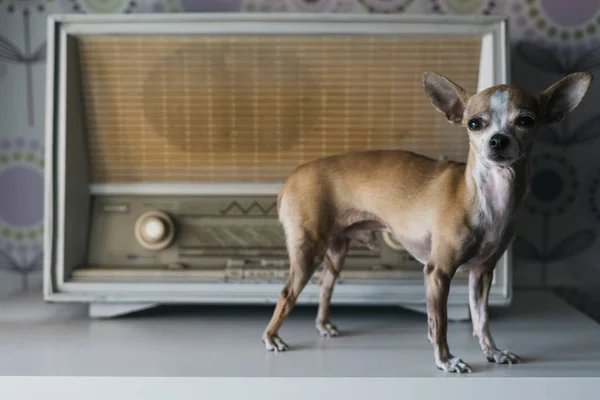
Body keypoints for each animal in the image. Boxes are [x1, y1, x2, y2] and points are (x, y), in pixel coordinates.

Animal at [260, 71, 592, 372]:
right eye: (475, 123)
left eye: (526, 121)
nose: (498, 141)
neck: (489, 197)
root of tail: (291, 178)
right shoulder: (438, 272)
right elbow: (439, 323)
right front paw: (446, 359)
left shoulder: (482, 274)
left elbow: (482, 319)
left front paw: (493, 352)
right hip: (308, 251)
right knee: (286, 294)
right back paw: (272, 337)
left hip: (336, 251)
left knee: (324, 286)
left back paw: (323, 325)